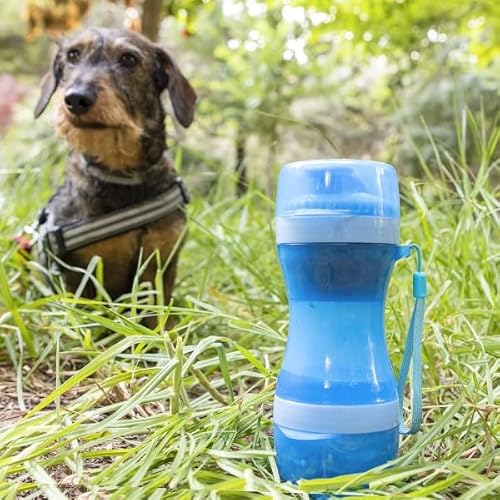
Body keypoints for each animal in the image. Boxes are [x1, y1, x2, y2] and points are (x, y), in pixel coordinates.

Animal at [33, 28, 196, 308]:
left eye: (129, 59)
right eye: (73, 55)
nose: (76, 98)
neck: (123, 178)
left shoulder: (160, 264)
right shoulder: (78, 277)